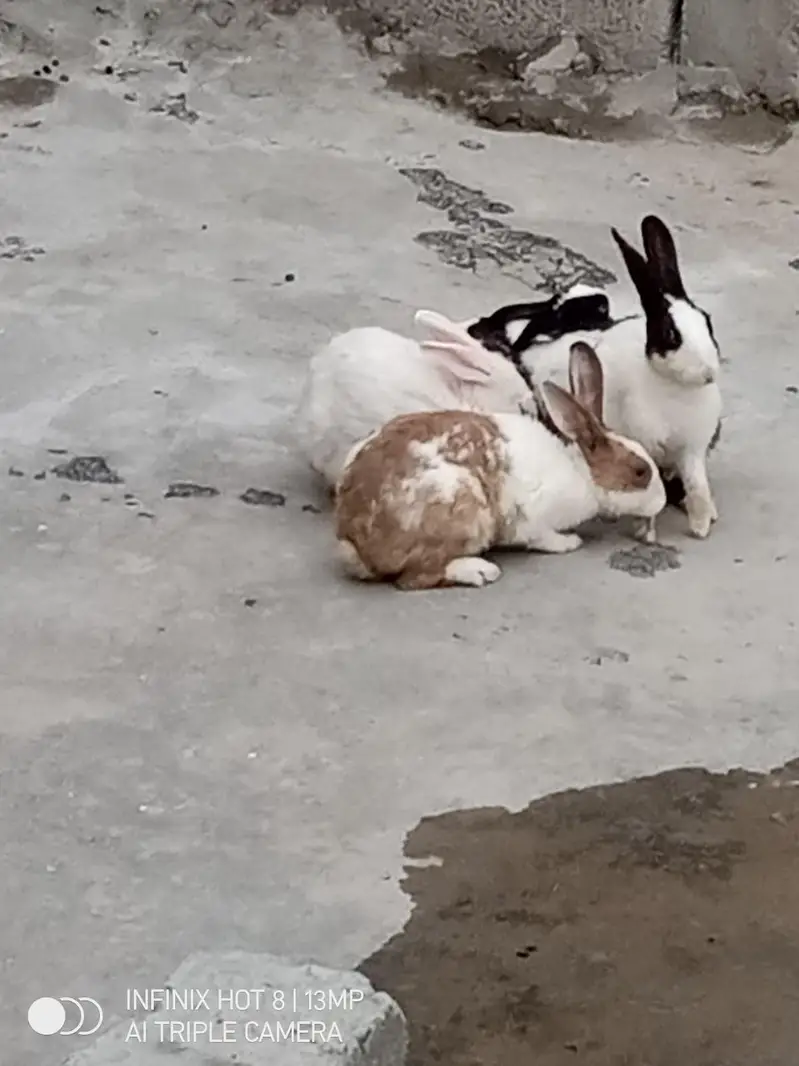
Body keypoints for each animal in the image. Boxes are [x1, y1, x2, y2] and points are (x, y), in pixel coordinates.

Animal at [334, 341, 666, 591]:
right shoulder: (533, 520)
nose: (662, 501)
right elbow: (543, 538)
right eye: (640, 471)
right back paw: (481, 571)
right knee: (414, 578)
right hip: (461, 509)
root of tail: (355, 544)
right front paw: (569, 542)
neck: (581, 471)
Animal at [518, 215, 723, 541]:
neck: (676, 390)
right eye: (671, 334)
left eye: (708, 321)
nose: (708, 372)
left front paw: (701, 524)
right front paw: (646, 529)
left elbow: (697, 484)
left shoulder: (692, 449)